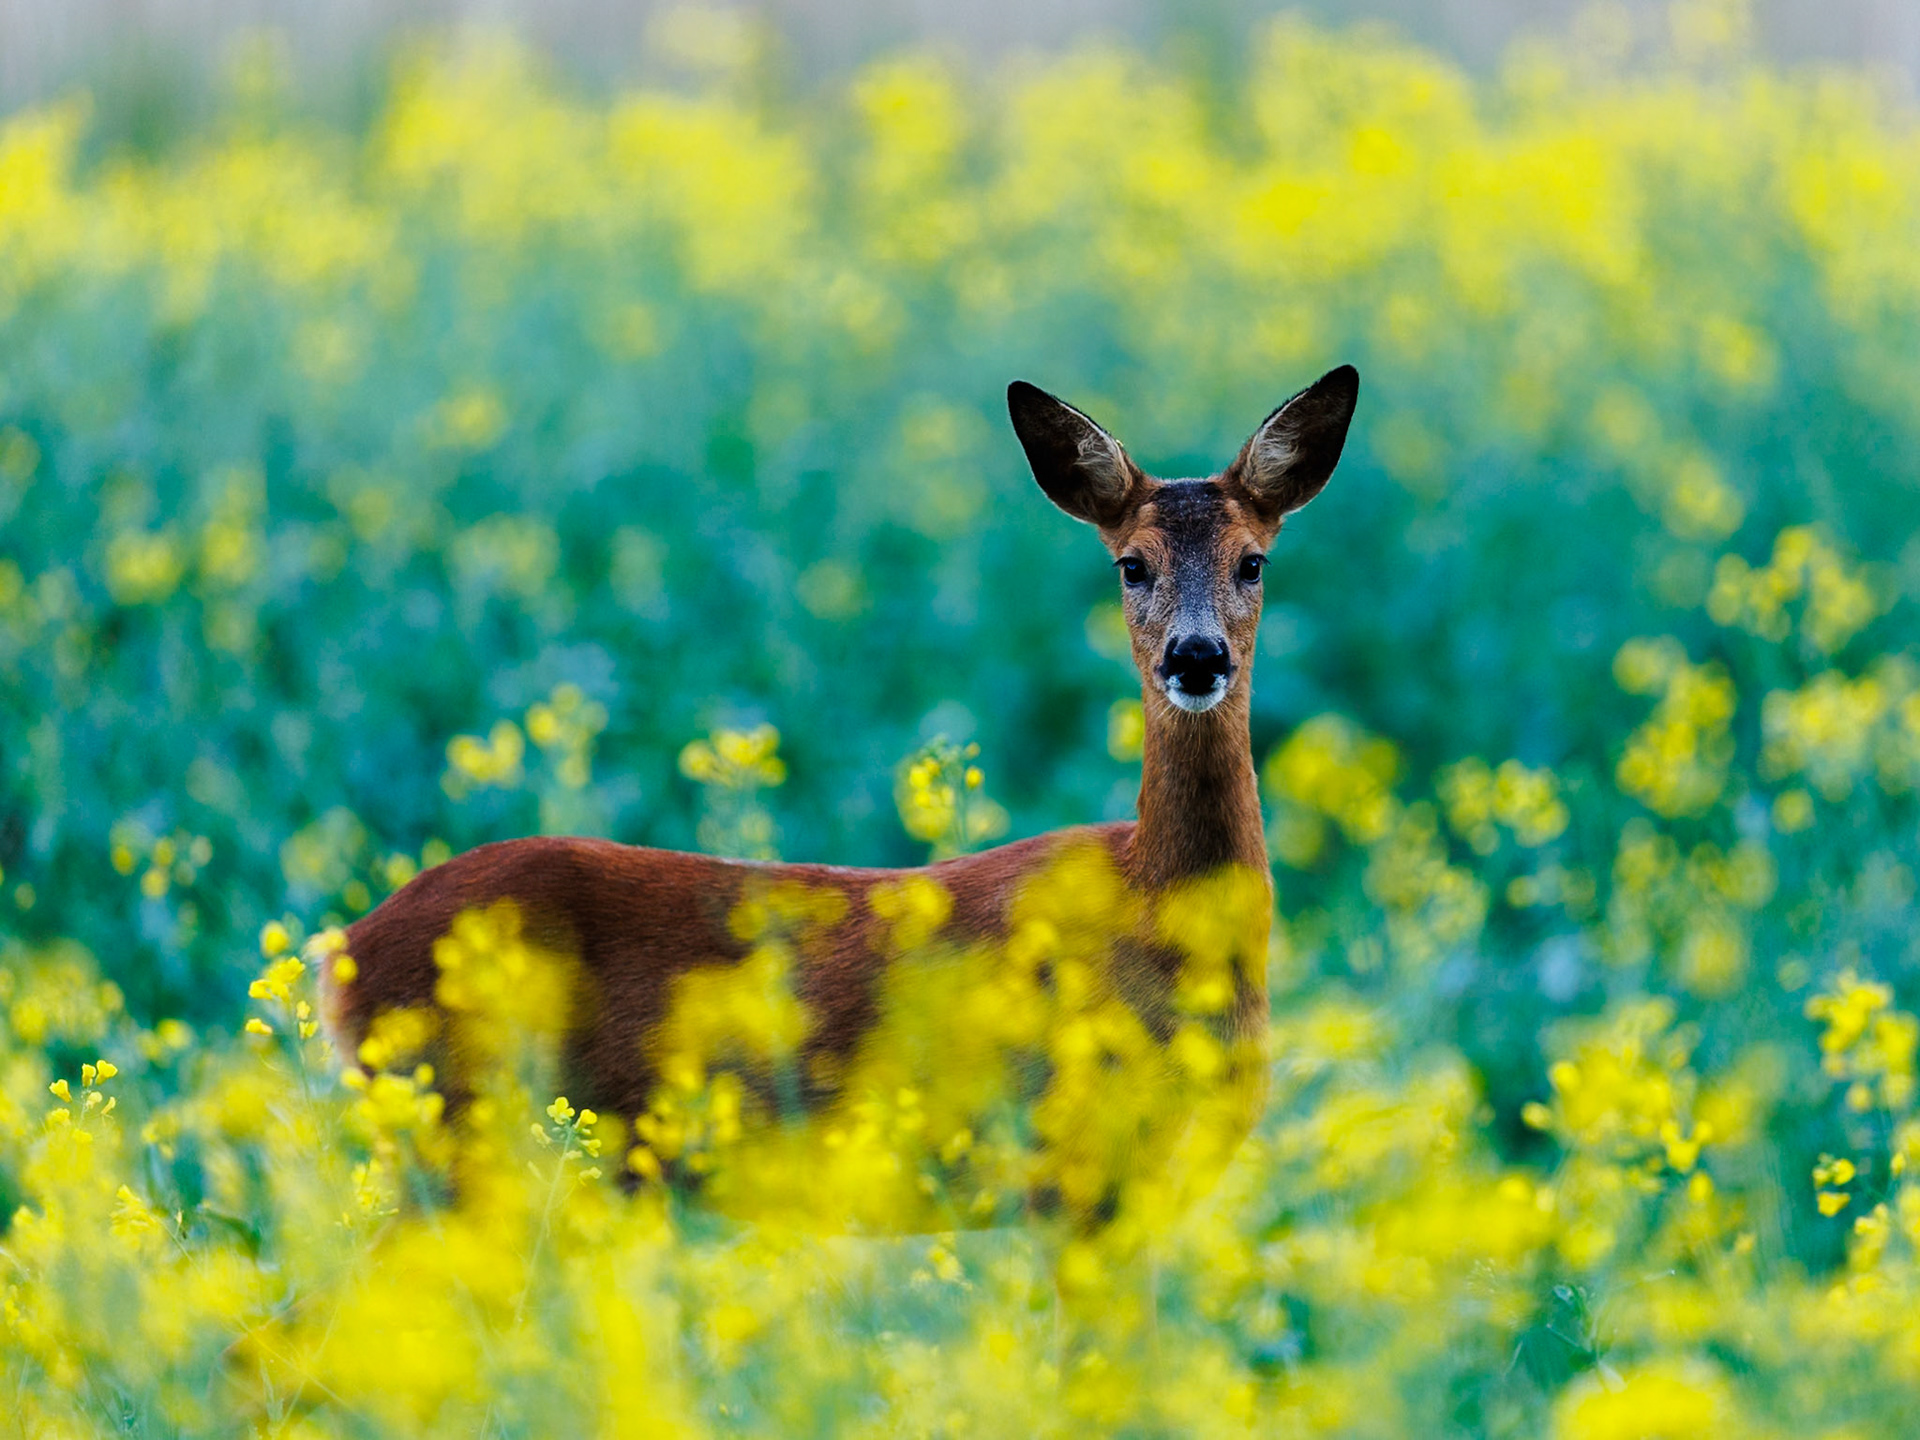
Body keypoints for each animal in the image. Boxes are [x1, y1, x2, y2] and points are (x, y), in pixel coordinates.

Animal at [319, 365, 1359, 1247]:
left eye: (1254, 562)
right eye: (1131, 564)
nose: (1197, 657)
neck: (1157, 911)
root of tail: (341, 957)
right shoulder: (1068, 1172)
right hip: (459, 1141)